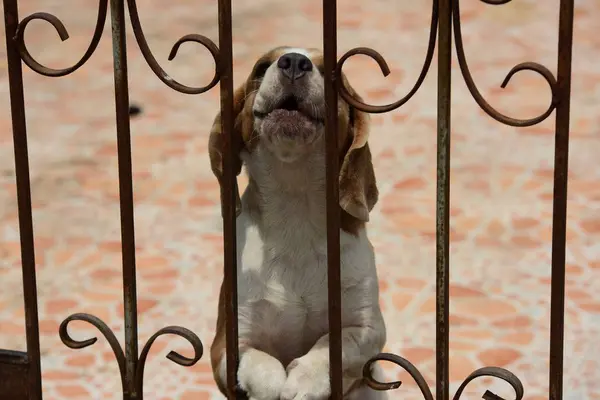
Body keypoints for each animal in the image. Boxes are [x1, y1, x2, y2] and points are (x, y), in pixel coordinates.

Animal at [209, 47, 386, 400]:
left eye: (331, 73)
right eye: (262, 67)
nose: (293, 62)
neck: (296, 208)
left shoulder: (368, 328)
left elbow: (332, 345)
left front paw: (305, 379)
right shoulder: (226, 345)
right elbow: (260, 362)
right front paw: (273, 386)